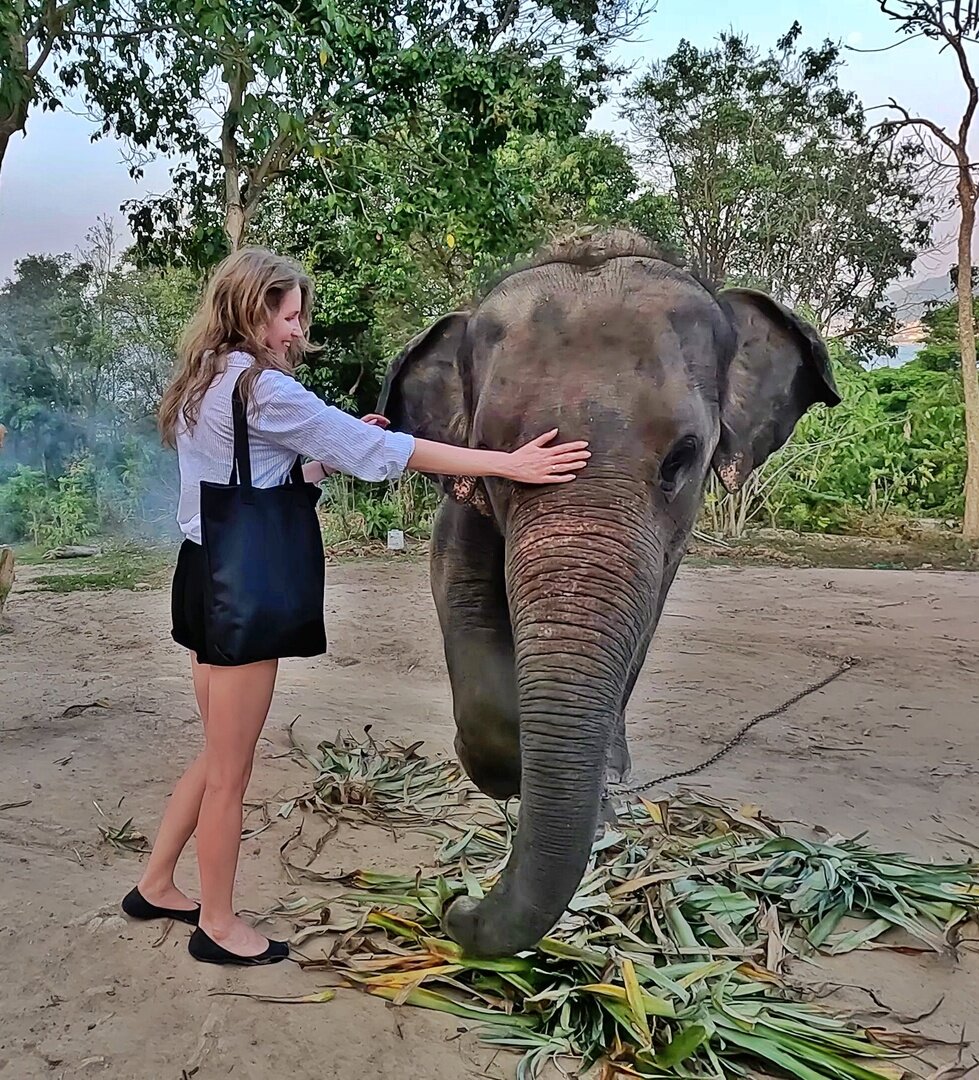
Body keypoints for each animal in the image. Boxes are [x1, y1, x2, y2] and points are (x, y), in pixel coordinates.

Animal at [373, 225, 838, 954]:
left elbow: (640, 625)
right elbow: (456, 580)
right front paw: (494, 767)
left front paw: (578, 795)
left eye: (682, 458)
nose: (455, 903)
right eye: (494, 455)